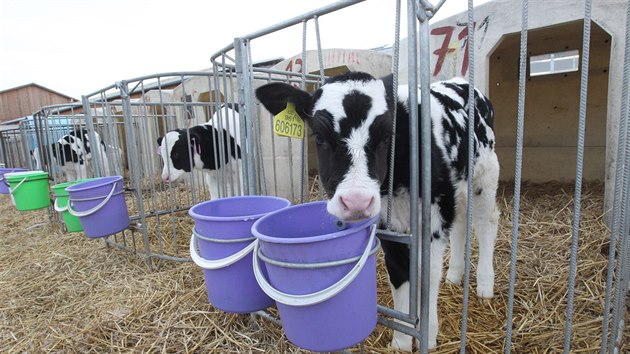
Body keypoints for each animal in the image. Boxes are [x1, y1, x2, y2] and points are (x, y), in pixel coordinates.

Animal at [254, 71, 502, 348]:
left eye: (386, 137)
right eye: (319, 137)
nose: (356, 201)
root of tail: (462, 81)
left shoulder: (435, 217)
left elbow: (427, 274)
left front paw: (428, 337)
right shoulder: (388, 225)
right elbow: (399, 274)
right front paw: (402, 342)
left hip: (485, 173)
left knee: (486, 223)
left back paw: (485, 284)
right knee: (460, 226)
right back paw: (455, 275)